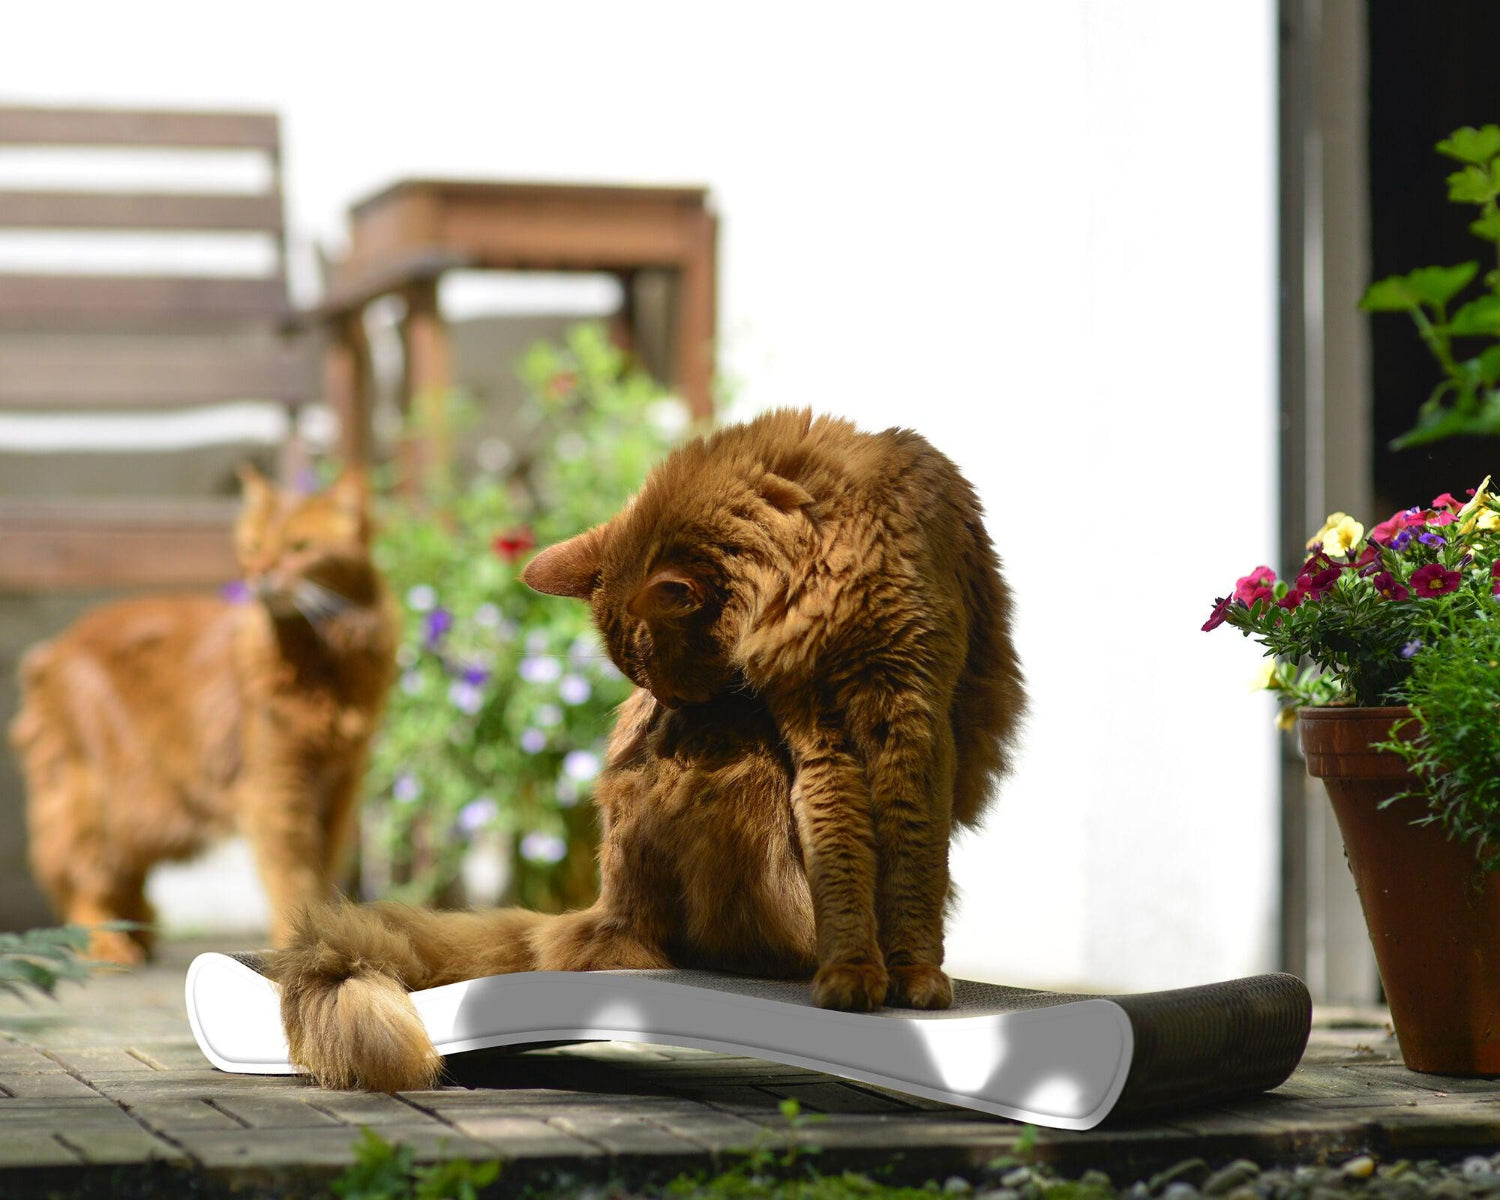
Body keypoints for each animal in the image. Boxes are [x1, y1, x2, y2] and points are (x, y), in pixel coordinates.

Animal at [10, 468, 399, 966]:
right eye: (253, 547)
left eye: (299, 548)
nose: (259, 574)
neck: (326, 659)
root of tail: (54, 648)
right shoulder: (276, 789)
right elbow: (292, 877)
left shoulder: (339, 789)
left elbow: (322, 869)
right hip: (99, 794)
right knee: (83, 872)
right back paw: (107, 944)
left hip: (150, 804)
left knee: (124, 873)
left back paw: (139, 932)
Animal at [270, 414, 1026, 1098]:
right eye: (648, 680)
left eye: (666, 672)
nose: (670, 711)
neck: (820, 571)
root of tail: (608, 903)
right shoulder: (818, 734)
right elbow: (843, 862)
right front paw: (852, 976)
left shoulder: (912, 719)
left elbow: (912, 868)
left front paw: (914, 977)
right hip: (742, 770)